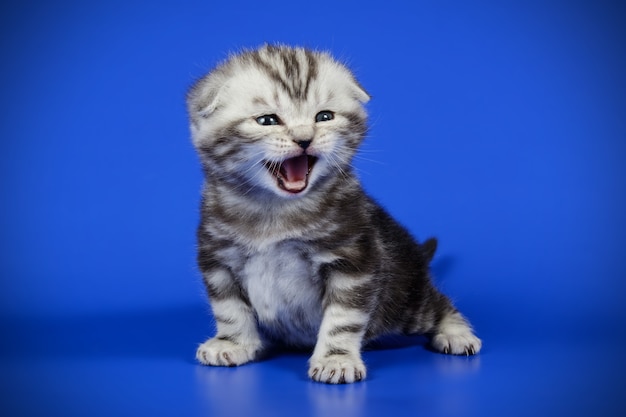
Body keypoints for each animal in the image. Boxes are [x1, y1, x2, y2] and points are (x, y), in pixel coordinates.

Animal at [184, 44, 478, 382]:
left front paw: (336, 359)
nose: (304, 138)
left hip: (404, 299)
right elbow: (229, 308)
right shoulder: (218, 259)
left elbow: (343, 318)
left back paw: (457, 333)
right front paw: (232, 342)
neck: (274, 210)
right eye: (267, 120)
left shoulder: (353, 260)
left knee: (439, 305)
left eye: (324, 117)